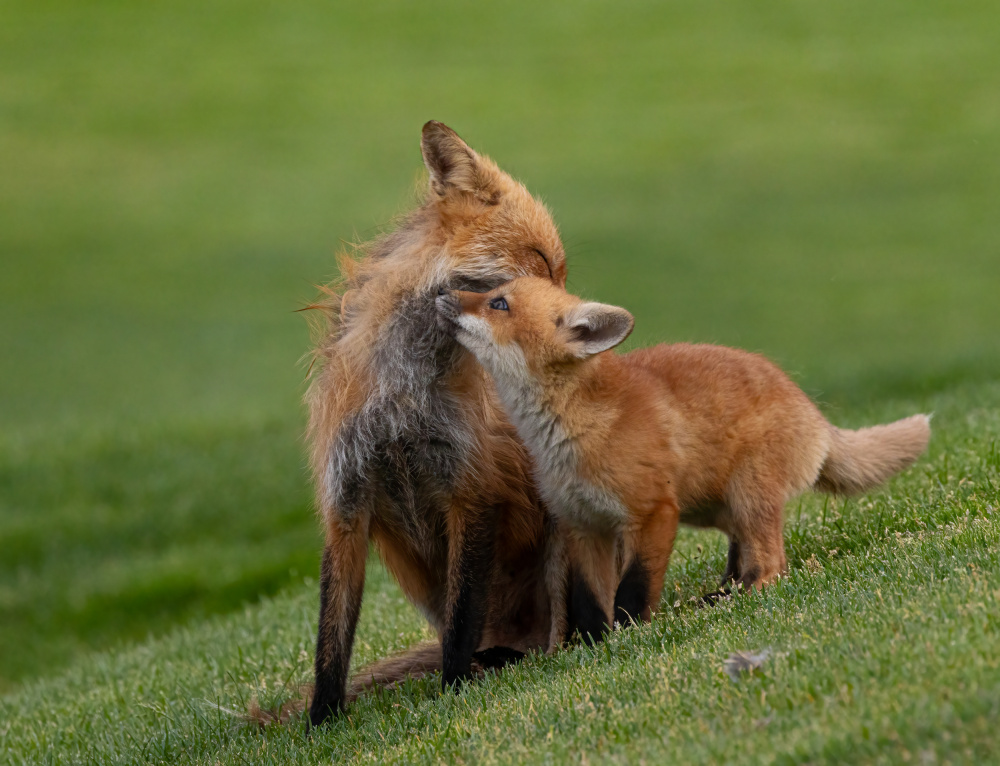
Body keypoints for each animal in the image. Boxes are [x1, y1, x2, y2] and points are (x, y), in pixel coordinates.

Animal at [304, 121, 568, 728]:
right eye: (540, 259)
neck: (402, 397)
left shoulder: (469, 488)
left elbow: (460, 617)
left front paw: (453, 692)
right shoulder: (345, 502)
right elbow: (332, 642)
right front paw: (320, 726)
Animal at [438, 276, 928, 640]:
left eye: (498, 303)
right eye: (490, 293)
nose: (441, 292)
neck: (574, 431)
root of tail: (815, 414)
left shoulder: (654, 511)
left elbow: (633, 589)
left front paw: (629, 636)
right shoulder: (583, 523)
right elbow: (588, 601)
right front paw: (593, 646)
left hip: (746, 496)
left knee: (771, 567)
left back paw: (729, 599)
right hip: (713, 508)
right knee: (744, 555)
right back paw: (720, 592)